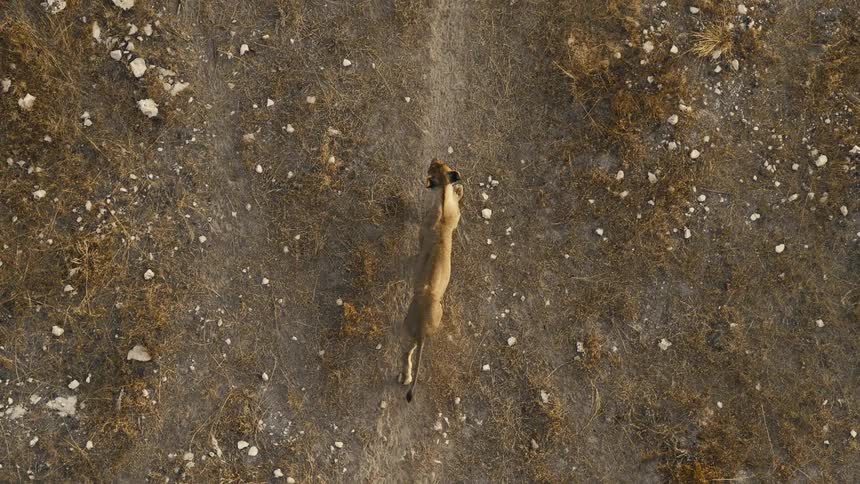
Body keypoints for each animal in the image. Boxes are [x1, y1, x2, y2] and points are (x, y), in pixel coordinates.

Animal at [400, 159, 463, 403]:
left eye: (435, 166)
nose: (434, 159)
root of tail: (421, 329)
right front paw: (460, 190)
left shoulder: (424, 228)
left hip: (408, 329)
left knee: (406, 354)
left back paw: (405, 377)